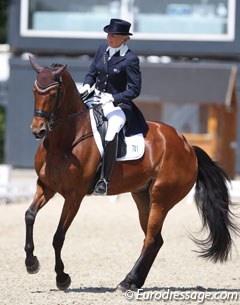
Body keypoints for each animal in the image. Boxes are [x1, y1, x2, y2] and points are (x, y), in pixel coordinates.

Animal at [25, 55, 239, 290]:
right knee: (156, 240)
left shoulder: (74, 196)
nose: (38, 131)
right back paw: (134, 281)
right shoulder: (45, 186)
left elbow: (58, 236)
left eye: (54, 93)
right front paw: (31, 263)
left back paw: (128, 280)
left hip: (161, 198)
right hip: (142, 196)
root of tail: (188, 146)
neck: (64, 142)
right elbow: (29, 216)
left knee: (151, 239)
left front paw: (62, 277)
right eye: (34, 91)